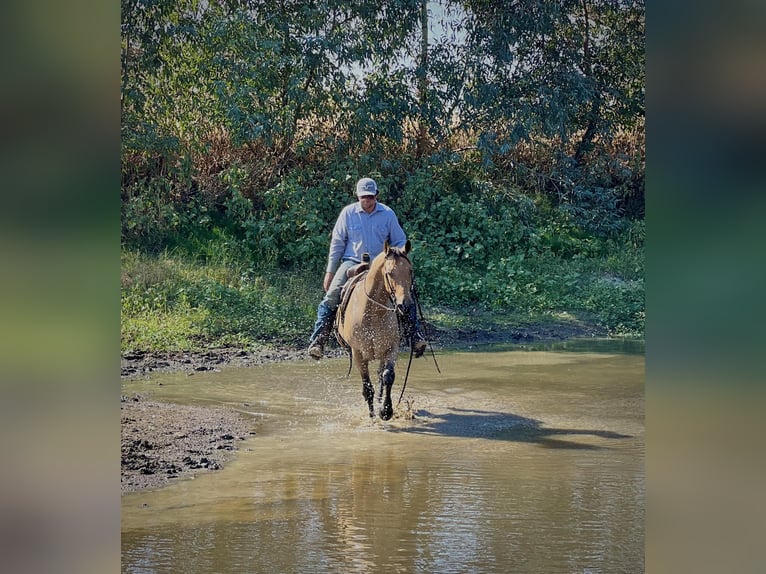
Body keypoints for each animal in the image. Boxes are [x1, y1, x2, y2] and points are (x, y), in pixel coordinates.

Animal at [338, 241, 420, 420]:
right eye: (389, 273)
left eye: (410, 271)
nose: (405, 305)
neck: (372, 312)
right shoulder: (358, 353)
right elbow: (367, 387)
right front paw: (372, 415)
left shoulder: (392, 348)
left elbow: (388, 377)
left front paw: (386, 411)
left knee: (381, 376)